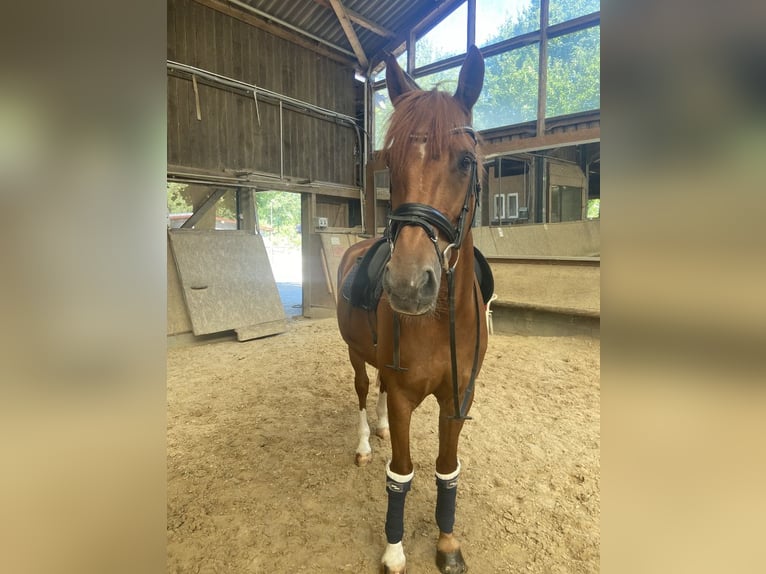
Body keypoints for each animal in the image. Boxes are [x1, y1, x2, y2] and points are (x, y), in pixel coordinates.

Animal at [336, 46, 489, 574]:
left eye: (465, 161)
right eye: (391, 163)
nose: (406, 284)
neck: (439, 319)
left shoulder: (457, 397)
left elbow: (447, 469)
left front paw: (446, 542)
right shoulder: (405, 396)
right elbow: (400, 474)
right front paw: (394, 549)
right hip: (355, 354)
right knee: (365, 392)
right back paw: (366, 440)